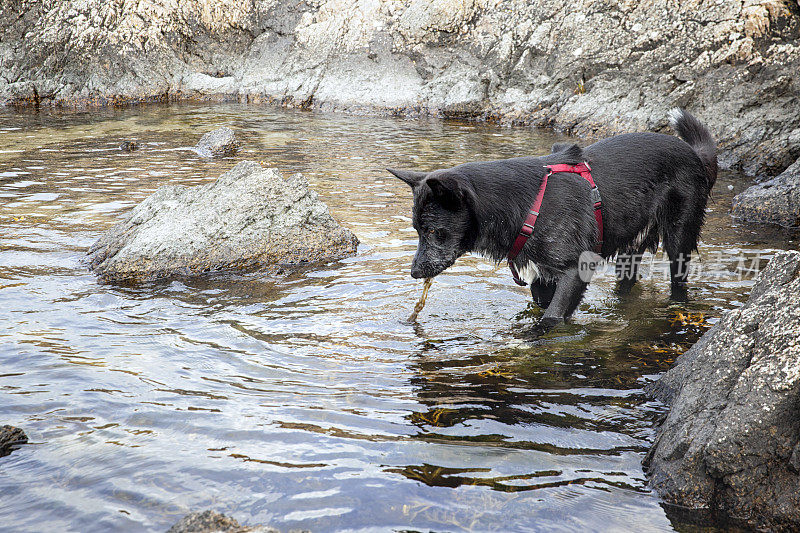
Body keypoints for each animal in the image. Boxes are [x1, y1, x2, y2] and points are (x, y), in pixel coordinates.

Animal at [390, 109, 720, 334]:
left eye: (433, 231)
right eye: (417, 231)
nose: (414, 272)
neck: (526, 205)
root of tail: (693, 154)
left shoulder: (575, 269)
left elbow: (552, 317)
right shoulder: (542, 277)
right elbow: (544, 305)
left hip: (678, 236)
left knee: (679, 279)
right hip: (630, 246)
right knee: (627, 282)